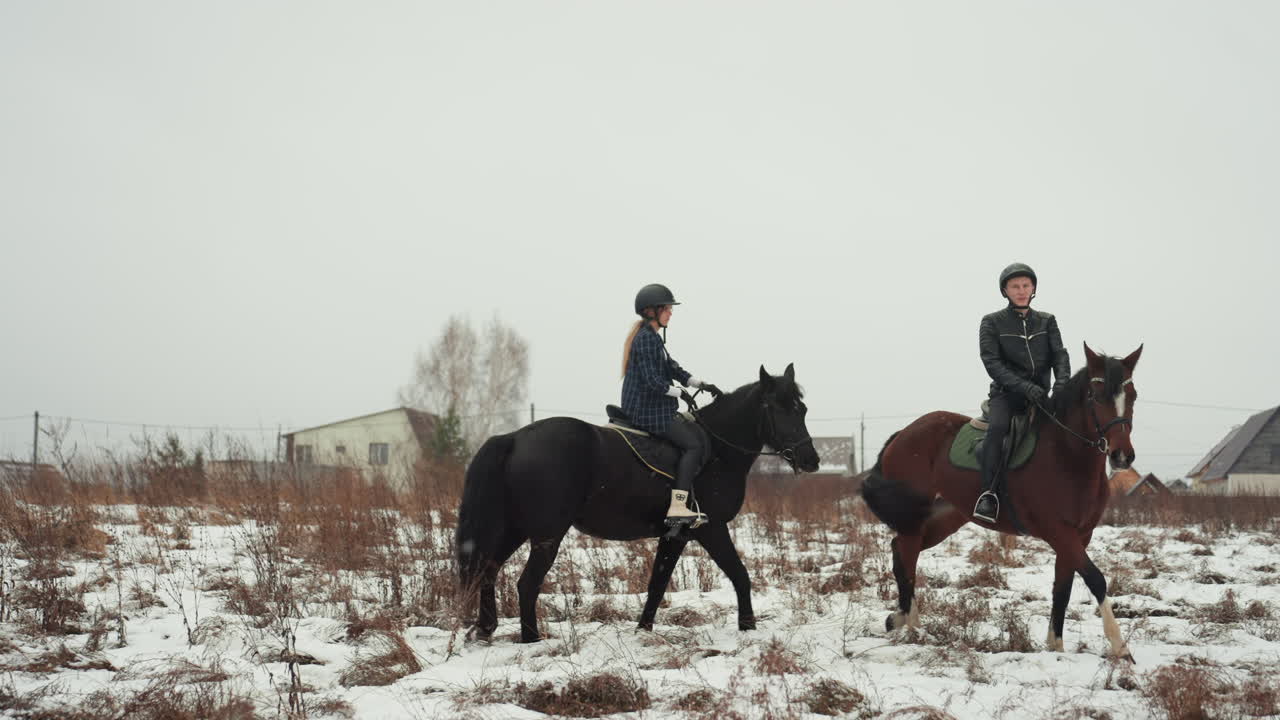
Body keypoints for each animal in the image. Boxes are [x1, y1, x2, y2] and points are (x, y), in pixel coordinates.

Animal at [456, 363, 821, 643]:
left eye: (802, 409)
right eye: (780, 409)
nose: (811, 460)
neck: (718, 449)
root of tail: (514, 438)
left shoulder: (676, 535)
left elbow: (657, 583)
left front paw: (643, 630)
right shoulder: (711, 528)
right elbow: (740, 574)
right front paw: (748, 627)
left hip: (514, 528)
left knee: (487, 571)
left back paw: (486, 630)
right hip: (547, 533)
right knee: (526, 583)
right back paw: (532, 640)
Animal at [860, 343, 1142, 660]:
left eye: (1132, 395)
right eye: (1096, 396)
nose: (1122, 456)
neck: (1066, 457)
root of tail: (903, 434)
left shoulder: (1081, 535)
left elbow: (1063, 588)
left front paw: (1055, 645)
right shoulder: (1058, 531)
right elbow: (1095, 578)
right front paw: (1120, 648)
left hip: (942, 518)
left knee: (901, 551)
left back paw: (900, 618)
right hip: (914, 517)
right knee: (907, 559)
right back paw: (912, 627)